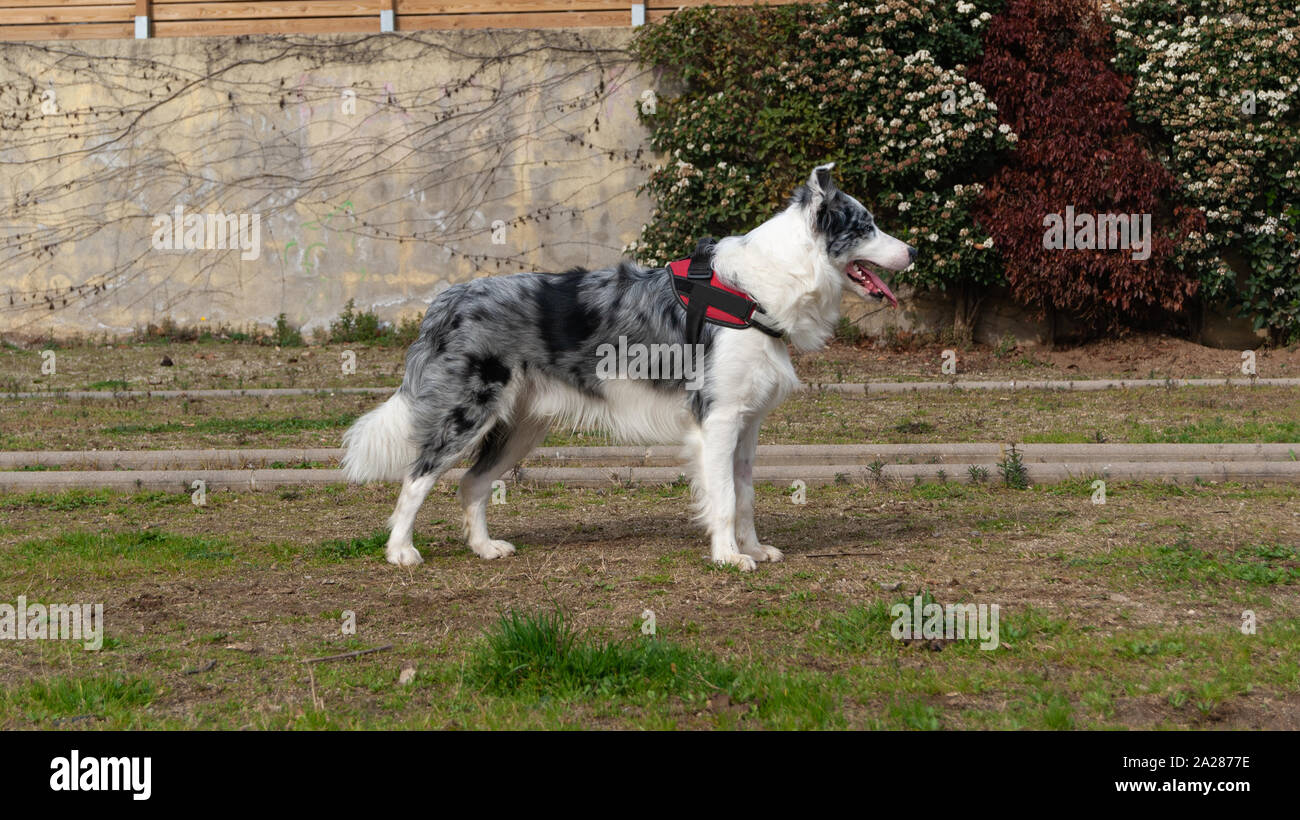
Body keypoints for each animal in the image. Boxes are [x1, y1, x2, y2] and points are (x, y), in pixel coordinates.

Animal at [340, 161, 920, 571]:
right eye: (867, 226)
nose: (914, 251)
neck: (759, 289)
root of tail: (449, 298)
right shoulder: (717, 420)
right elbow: (725, 498)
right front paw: (728, 557)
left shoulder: (747, 423)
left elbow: (747, 495)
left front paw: (752, 549)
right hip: (467, 412)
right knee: (417, 476)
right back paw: (400, 551)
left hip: (521, 428)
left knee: (471, 483)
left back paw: (484, 548)